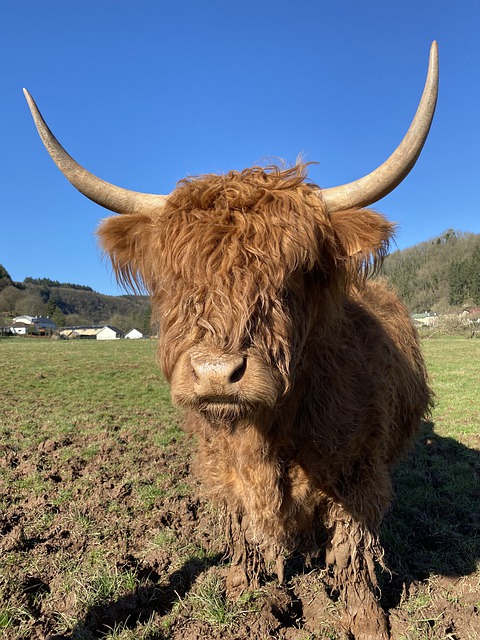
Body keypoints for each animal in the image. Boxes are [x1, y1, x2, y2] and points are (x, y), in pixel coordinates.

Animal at [25, 42, 438, 636]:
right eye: (174, 281)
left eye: (294, 274)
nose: (218, 374)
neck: (270, 432)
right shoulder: (223, 468)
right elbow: (242, 531)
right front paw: (244, 593)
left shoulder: (357, 472)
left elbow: (353, 550)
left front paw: (367, 620)